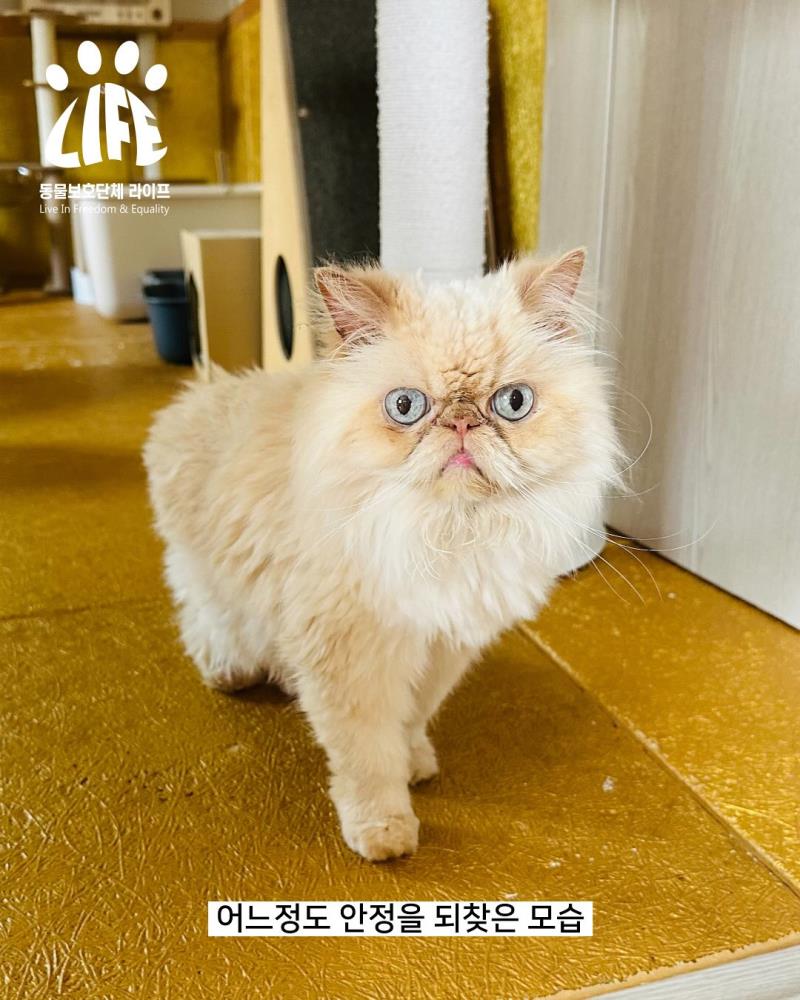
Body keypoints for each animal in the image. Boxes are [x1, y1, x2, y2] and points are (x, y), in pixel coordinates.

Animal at [143, 249, 621, 861]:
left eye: (513, 403)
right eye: (406, 407)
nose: (461, 422)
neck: (445, 532)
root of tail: (197, 395)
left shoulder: (442, 644)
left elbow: (411, 721)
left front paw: (416, 764)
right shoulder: (353, 657)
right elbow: (368, 759)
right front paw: (385, 834)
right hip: (207, 572)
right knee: (207, 619)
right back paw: (230, 669)